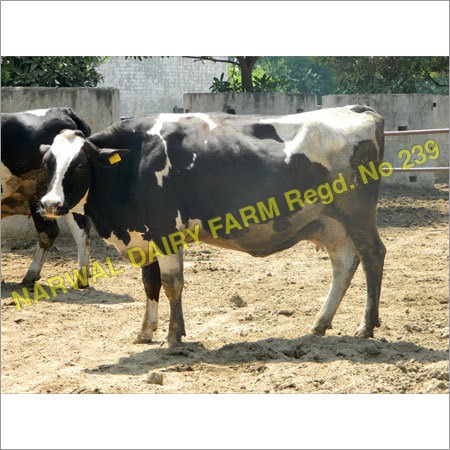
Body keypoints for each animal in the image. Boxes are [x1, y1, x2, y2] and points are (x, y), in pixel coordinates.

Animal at [0, 107, 92, 286]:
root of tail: (63, 110)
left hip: (39, 193)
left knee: (49, 232)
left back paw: (31, 274)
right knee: (81, 229)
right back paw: (82, 276)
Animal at [38, 107, 386, 346]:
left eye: (79, 165)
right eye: (48, 163)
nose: (49, 203)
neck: (135, 160)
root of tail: (357, 109)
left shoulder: (165, 231)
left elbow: (171, 283)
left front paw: (173, 336)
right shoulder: (144, 236)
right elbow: (150, 284)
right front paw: (146, 331)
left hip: (358, 217)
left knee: (373, 256)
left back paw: (366, 326)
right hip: (331, 225)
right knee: (344, 265)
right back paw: (320, 323)